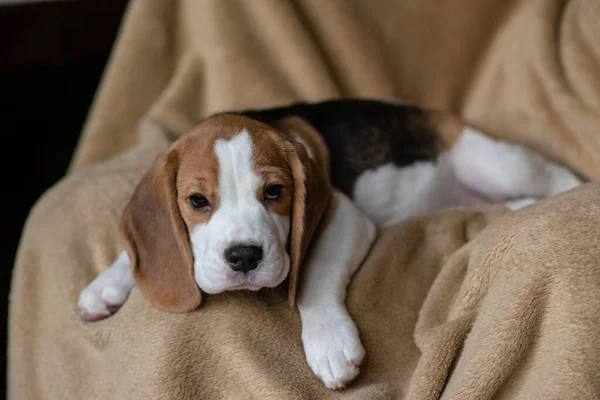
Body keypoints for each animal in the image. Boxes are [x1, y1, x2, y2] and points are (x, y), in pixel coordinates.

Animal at [78, 98, 580, 390]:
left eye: (275, 192)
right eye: (197, 201)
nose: (243, 257)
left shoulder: (345, 215)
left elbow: (314, 277)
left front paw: (329, 340)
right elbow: (133, 253)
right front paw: (106, 284)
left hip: (496, 162)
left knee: (561, 178)